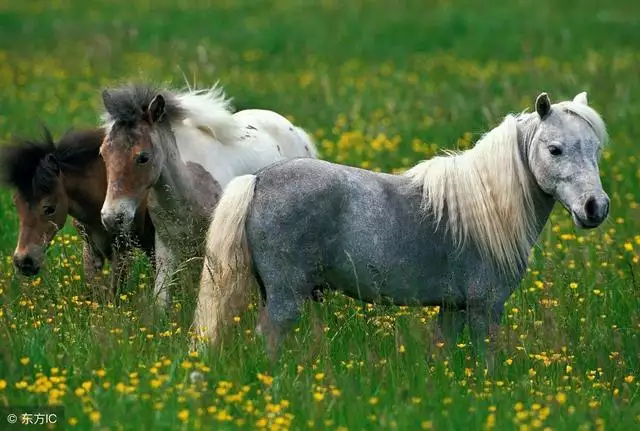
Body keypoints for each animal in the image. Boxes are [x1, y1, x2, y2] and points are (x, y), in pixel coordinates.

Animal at [0, 126, 155, 296]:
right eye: (16, 204)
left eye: (49, 208)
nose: (23, 262)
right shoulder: (91, 248)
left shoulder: (123, 250)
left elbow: (114, 292)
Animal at [99, 82, 318, 308]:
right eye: (103, 153)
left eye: (143, 157)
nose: (111, 218)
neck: (185, 190)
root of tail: (296, 132)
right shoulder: (166, 244)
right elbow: (161, 296)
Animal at [194, 90, 608, 368]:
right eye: (554, 149)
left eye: (596, 150)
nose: (596, 207)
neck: (485, 206)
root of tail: (258, 179)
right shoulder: (485, 306)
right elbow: (486, 360)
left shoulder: (453, 307)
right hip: (286, 296)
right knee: (270, 337)